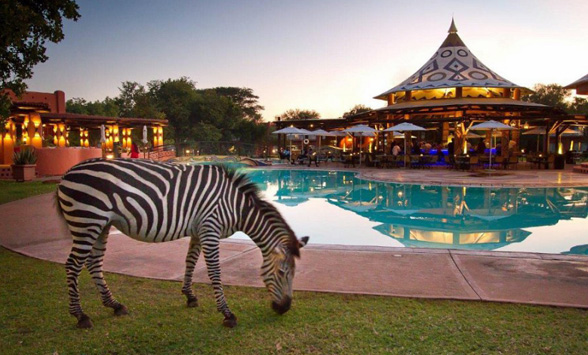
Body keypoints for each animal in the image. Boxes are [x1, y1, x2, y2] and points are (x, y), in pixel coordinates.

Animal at [56, 159, 310, 328]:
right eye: (283, 273)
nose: (284, 309)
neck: (236, 207)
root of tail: (67, 172)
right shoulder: (210, 229)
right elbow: (214, 272)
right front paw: (227, 314)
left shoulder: (199, 230)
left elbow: (190, 262)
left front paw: (189, 296)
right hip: (87, 220)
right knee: (73, 266)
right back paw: (80, 316)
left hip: (102, 225)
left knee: (94, 263)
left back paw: (114, 305)